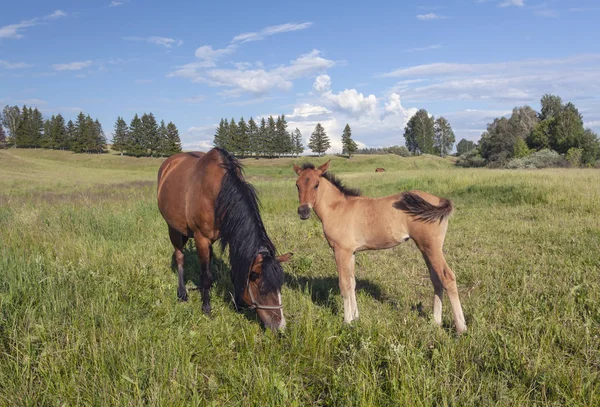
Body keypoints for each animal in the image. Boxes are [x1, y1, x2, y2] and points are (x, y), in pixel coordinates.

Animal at [158, 148, 292, 330]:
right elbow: (206, 276)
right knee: (180, 256)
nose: (280, 326)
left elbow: (233, 270)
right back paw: (182, 292)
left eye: (280, 288)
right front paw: (206, 308)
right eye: (263, 291)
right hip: (174, 229)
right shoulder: (201, 238)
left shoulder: (230, 235)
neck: (218, 190)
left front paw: (237, 303)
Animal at [292, 161, 466, 336]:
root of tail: (439, 200)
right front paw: (356, 318)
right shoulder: (351, 253)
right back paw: (435, 322)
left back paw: (461, 329)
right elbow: (352, 283)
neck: (338, 208)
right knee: (436, 280)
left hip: (432, 248)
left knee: (447, 278)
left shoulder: (341, 251)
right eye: (297, 185)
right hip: (426, 249)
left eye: (316, 184)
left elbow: (344, 285)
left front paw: (347, 322)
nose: (303, 211)